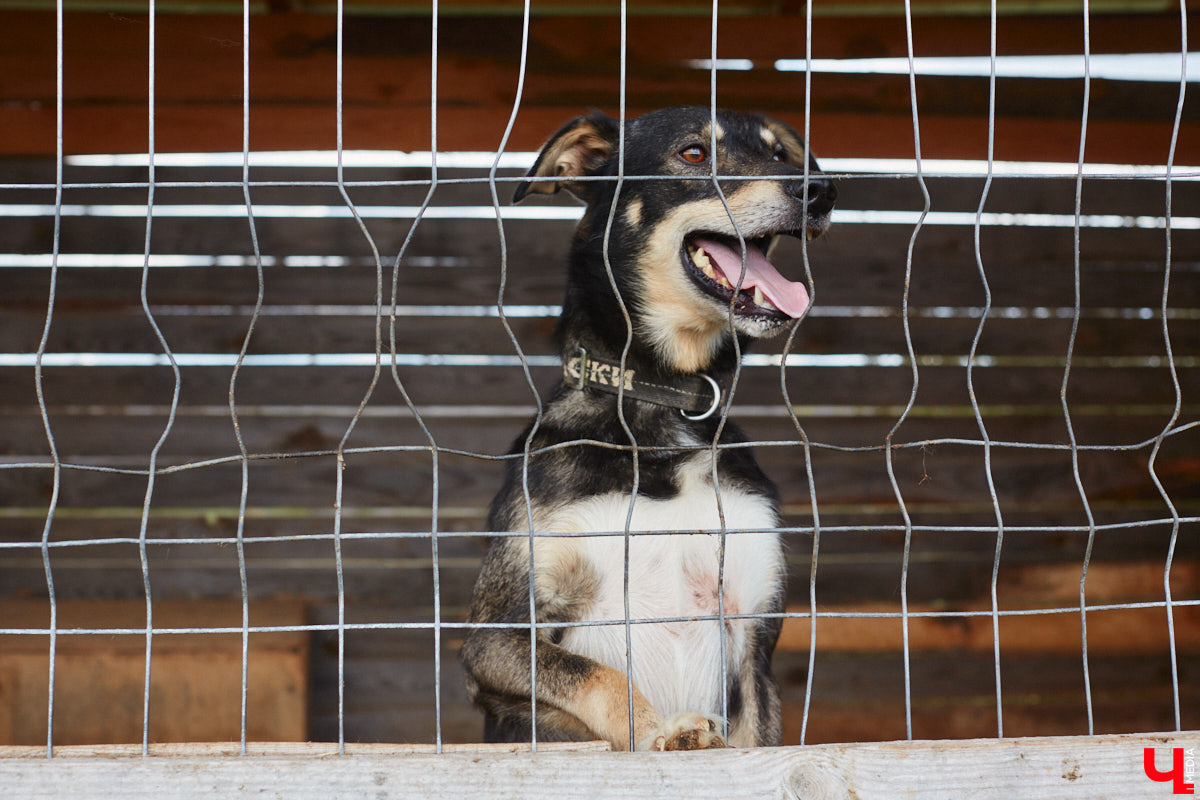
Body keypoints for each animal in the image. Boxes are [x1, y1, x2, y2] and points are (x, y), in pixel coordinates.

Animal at [458, 106, 835, 753]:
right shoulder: (497, 640)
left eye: (779, 154)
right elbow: (595, 676)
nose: (821, 190)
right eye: (692, 154)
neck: (663, 405)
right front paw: (664, 728)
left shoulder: (751, 638)